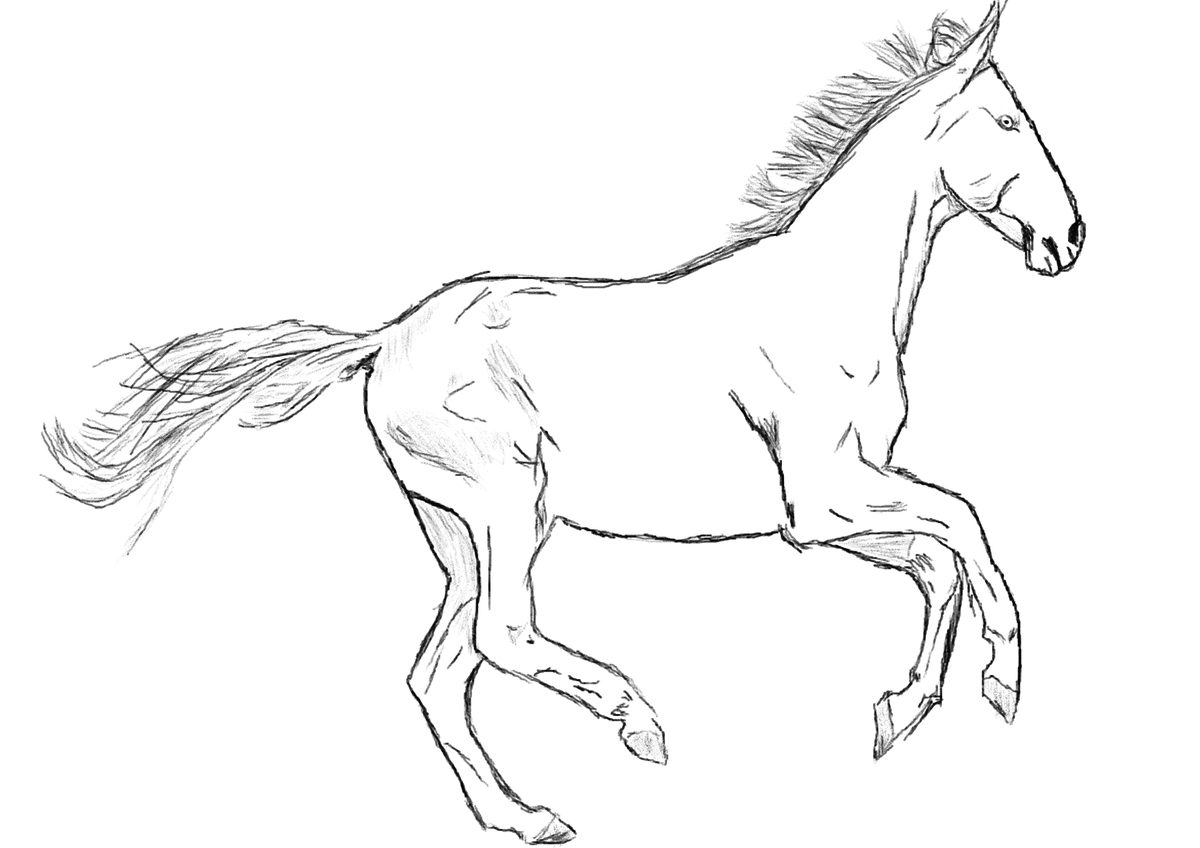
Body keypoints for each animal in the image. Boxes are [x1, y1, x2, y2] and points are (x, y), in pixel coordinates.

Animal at [44, 5, 1083, 843]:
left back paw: (526, 818)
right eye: (1008, 122)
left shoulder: (838, 507)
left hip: (465, 529)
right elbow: (963, 527)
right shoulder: (820, 502)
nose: (1069, 238)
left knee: (439, 672)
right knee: (503, 635)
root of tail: (383, 340)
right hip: (508, 504)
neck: (824, 301)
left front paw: (902, 712)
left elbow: (939, 561)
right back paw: (638, 725)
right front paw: (1001, 682)